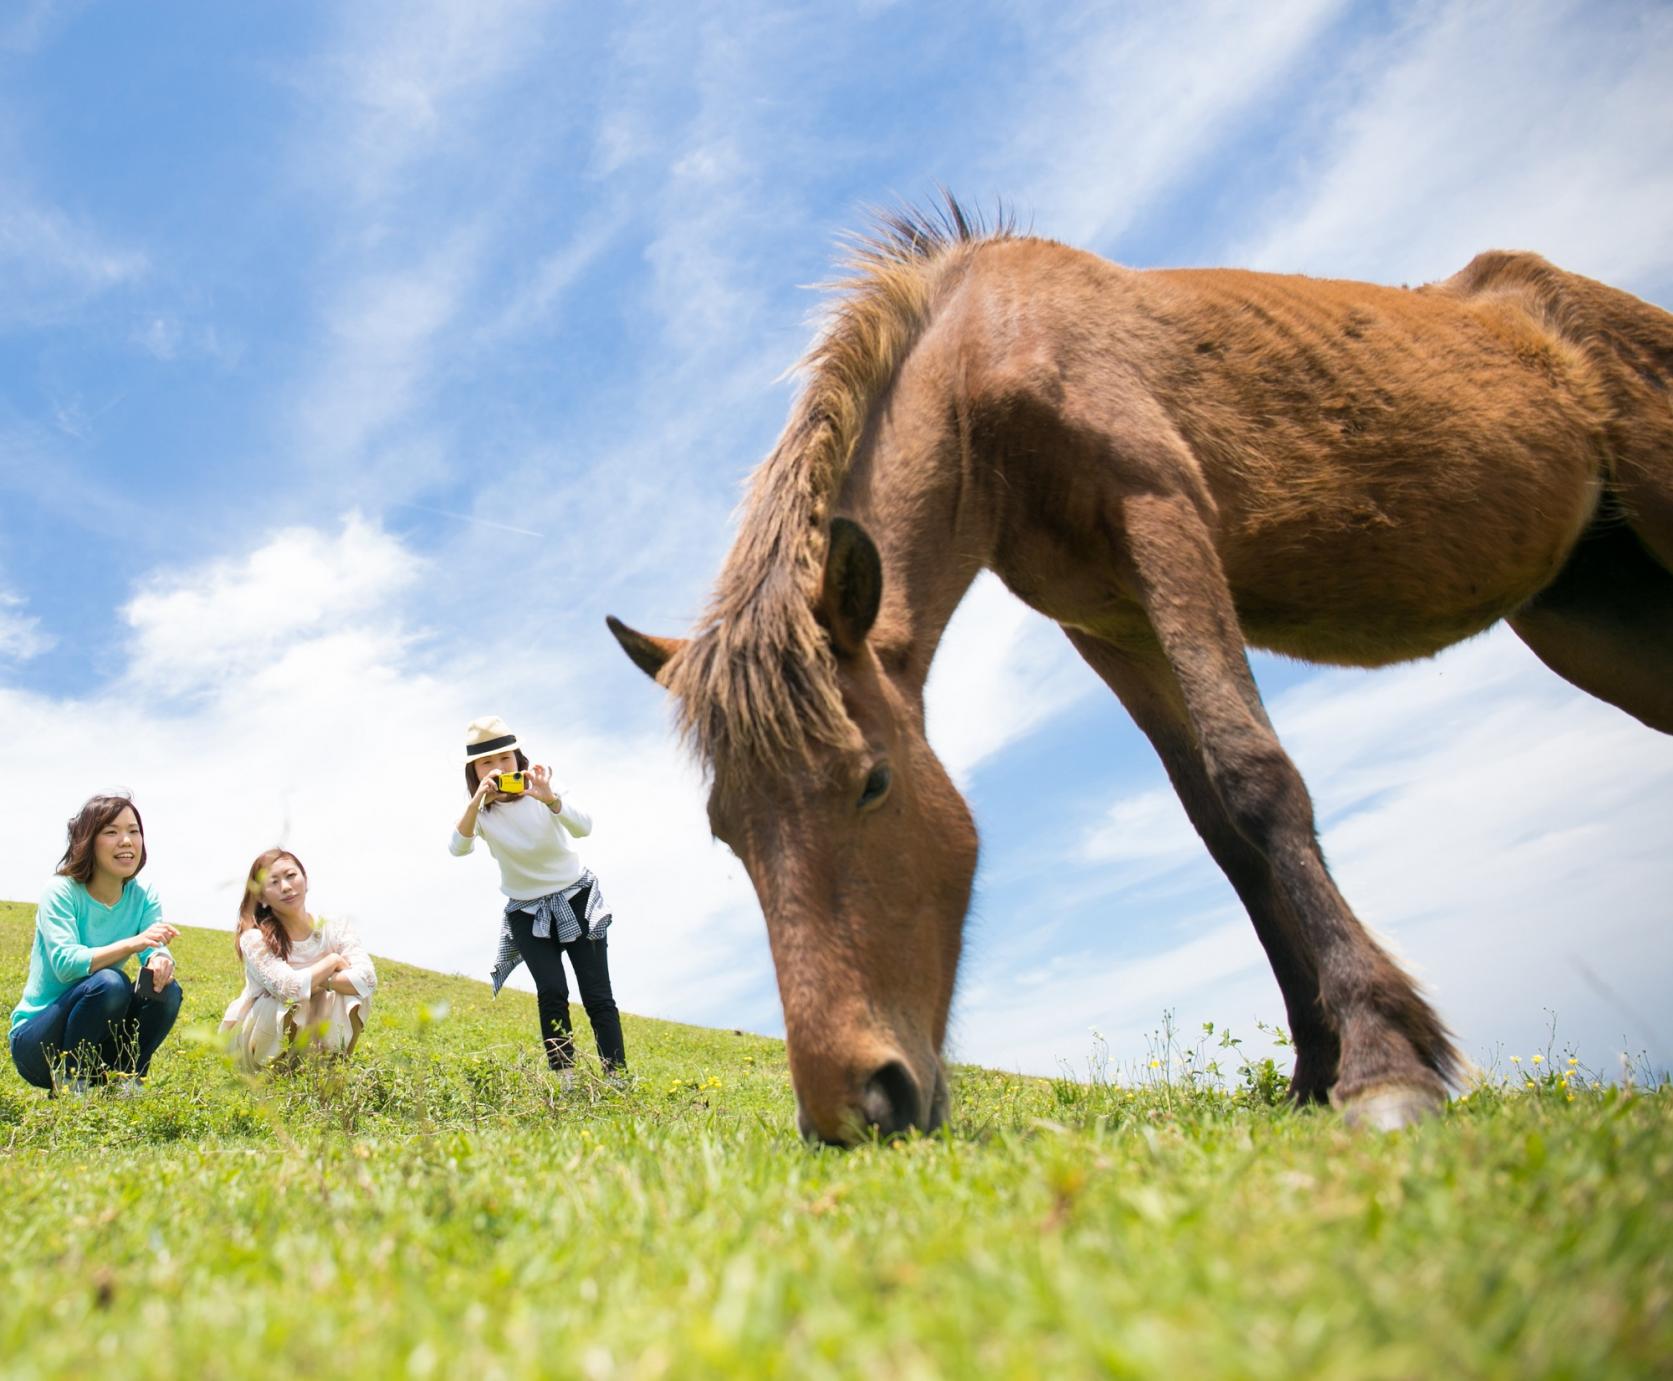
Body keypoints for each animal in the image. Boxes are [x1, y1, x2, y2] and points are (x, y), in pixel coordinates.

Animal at [612, 196, 1673, 1144]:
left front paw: (1381, 1064)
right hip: (1590, 613)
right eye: (726, 832)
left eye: (871, 782)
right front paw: (1312, 1071)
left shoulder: (1163, 517)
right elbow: (1220, 829)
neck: (990, 362)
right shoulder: (1112, 625)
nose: (852, 1108)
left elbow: (1256, 778)